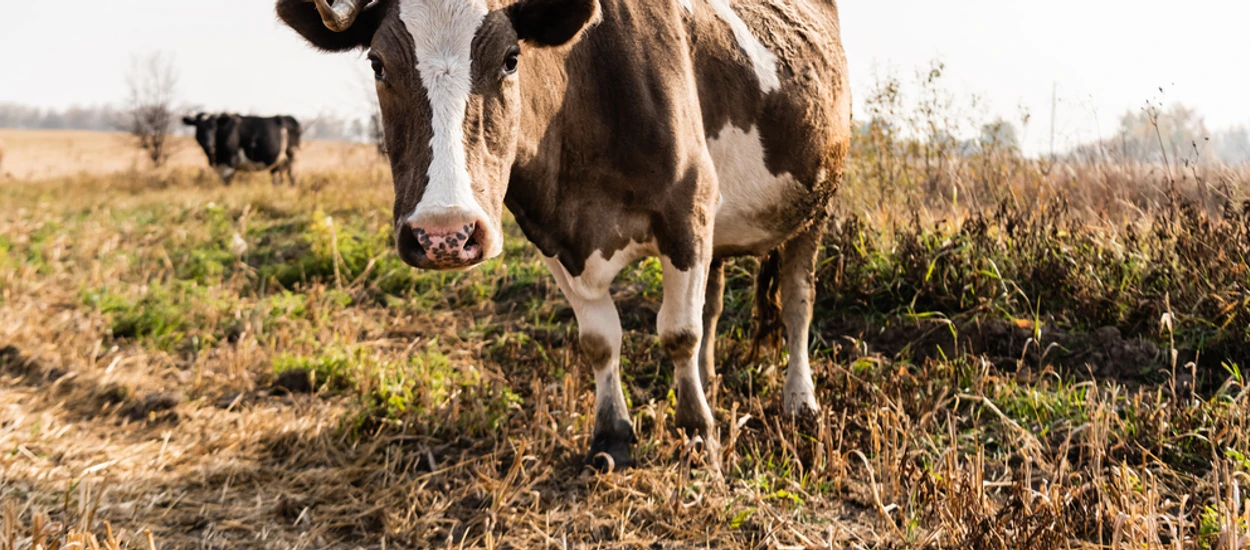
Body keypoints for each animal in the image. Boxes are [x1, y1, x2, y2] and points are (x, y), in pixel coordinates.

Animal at [278, 0, 855, 470]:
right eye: (377, 63)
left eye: (511, 58)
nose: (444, 233)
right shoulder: (553, 235)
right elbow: (600, 340)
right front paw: (613, 436)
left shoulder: (687, 211)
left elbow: (678, 333)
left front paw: (698, 434)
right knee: (712, 302)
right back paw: (711, 378)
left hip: (817, 202)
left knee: (796, 301)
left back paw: (800, 401)